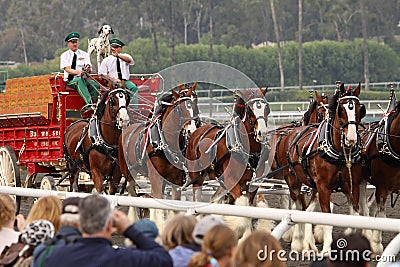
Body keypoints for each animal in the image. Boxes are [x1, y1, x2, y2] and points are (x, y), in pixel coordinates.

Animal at [282, 83, 366, 253]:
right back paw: (297, 242)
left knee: (307, 210)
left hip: (314, 187)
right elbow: (327, 216)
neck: (340, 153)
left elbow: (354, 217)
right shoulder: (324, 188)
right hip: (294, 183)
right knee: (297, 206)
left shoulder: (352, 187)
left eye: (359, 109)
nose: (351, 139)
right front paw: (326, 249)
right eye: (341, 109)